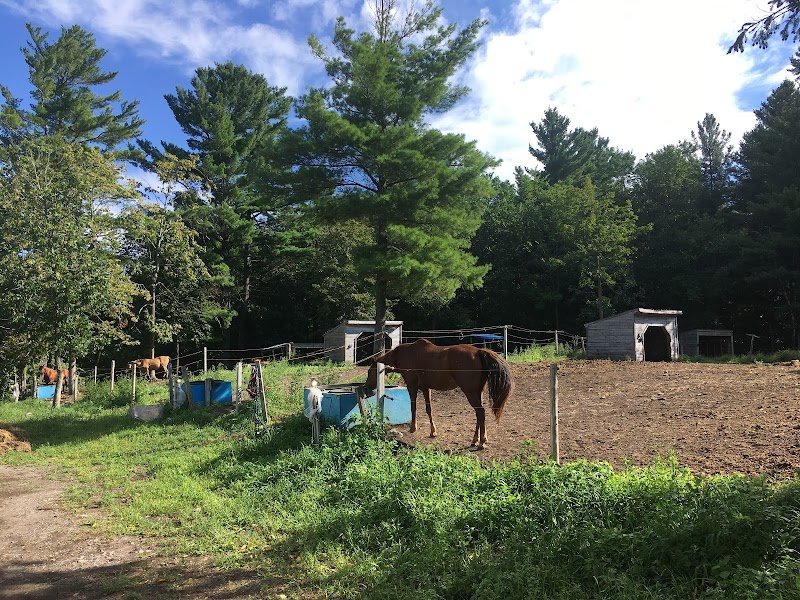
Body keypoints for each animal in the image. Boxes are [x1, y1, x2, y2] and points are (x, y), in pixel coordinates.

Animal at [366, 338, 514, 450]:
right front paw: (433, 431)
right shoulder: (426, 388)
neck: (404, 354)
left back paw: (481, 442)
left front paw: (413, 428)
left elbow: (413, 407)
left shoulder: (412, 386)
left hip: (470, 393)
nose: (367, 387)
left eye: (369, 371)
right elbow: (429, 409)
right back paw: (476, 440)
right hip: (478, 393)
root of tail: (478, 351)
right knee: (479, 415)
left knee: (480, 413)